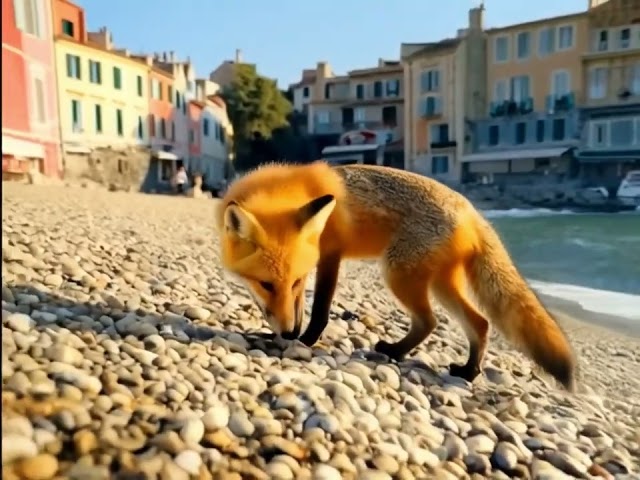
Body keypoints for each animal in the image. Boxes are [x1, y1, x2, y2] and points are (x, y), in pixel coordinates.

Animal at [212, 159, 576, 392]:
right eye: (266, 284)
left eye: (296, 281)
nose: (287, 334)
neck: (291, 191)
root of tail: (471, 210)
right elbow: (299, 309)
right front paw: (285, 332)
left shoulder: (330, 256)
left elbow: (320, 310)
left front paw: (305, 340)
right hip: (439, 283)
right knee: (479, 322)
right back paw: (468, 371)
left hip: (398, 273)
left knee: (429, 321)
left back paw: (397, 352)